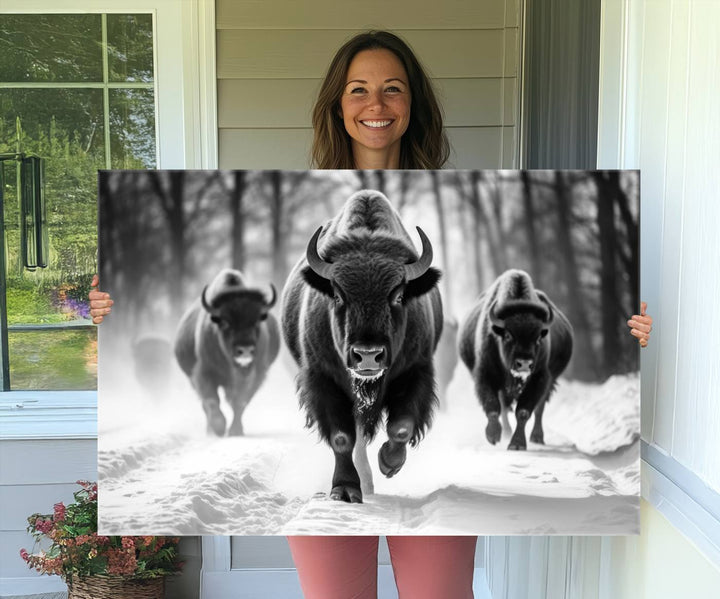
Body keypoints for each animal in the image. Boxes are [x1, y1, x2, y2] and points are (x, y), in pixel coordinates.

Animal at [174, 270, 282, 436]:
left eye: (257, 321)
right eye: (225, 322)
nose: (245, 350)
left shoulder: (256, 375)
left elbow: (240, 402)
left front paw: (236, 430)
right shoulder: (203, 373)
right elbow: (212, 400)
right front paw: (219, 428)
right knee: (206, 404)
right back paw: (210, 430)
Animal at [282, 191, 444, 502]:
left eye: (399, 295)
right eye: (337, 294)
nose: (368, 356)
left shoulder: (416, 371)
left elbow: (401, 427)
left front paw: (389, 463)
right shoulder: (323, 378)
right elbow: (342, 438)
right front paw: (345, 490)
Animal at [462, 270, 572, 450]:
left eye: (538, 338)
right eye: (507, 335)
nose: (524, 364)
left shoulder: (539, 378)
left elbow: (523, 411)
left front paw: (517, 444)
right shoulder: (486, 374)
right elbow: (493, 406)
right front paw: (493, 436)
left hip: (550, 381)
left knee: (539, 409)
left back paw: (537, 437)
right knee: (504, 406)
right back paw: (506, 432)